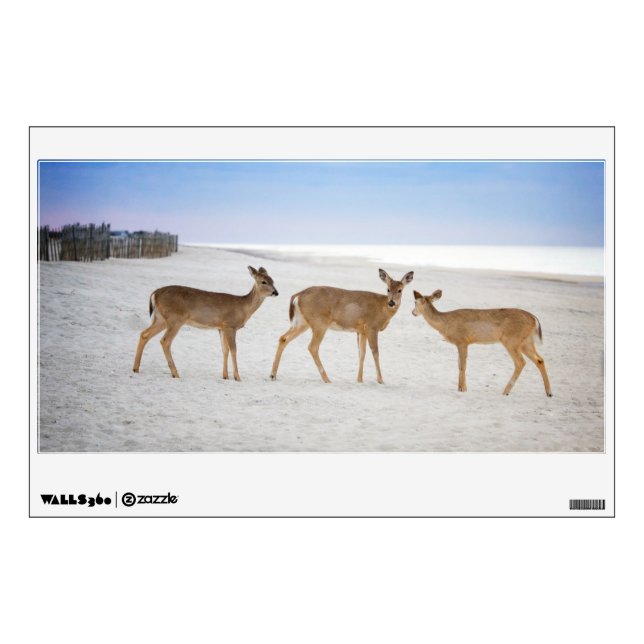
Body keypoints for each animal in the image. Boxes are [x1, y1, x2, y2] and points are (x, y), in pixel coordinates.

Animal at [133, 266, 278, 380]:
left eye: (273, 281)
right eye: (263, 281)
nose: (275, 292)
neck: (243, 307)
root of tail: (155, 293)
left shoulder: (221, 327)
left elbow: (224, 350)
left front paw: (225, 376)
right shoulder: (230, 325)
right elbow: (233, 349)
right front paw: (237, 377)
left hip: (161, 318)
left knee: (144, 334)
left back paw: (136, 368)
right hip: (175, 319)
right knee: (165, 341)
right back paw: (175, 373)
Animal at [270, 269, 414, 384]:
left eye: (400, 290)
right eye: (388, 289)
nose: (391, 302)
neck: (382, 308)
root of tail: (297, 296)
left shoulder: (361, 330)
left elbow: (362, 354)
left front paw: (359, 380)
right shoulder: (372, 327)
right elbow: (375, 352)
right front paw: (380, 380)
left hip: (302, 322)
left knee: (283, 338)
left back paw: (273, 375)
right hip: (319, 323)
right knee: (312, 347)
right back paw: (327, 379)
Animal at [412, 289, 552, 396]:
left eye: (415, 302)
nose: (413, 312)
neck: (445, 323)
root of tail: (534, 319)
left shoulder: (462, 340)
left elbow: (462, 365)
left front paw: (463, 389)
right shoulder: (461, 343)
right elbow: (459, 364)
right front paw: (460, 388)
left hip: (512, 340)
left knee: (520, 362)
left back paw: (505, 392)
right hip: (526, 342)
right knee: (540, 360)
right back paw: (549, 392)